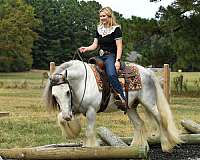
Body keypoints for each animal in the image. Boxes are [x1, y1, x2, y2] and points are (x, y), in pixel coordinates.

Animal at [43, 59, 182, 152]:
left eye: (67, 92)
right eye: (54, 96)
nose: (68, 116)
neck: (82, 82)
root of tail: (147, 72)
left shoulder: (91, 111)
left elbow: (89, 131)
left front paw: (89, 147)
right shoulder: (73, 109)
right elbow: (60, 118)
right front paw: (73, 132)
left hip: (149, 103)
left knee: (160, 119)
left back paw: (166, 145)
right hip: (130, 107)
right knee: (139, 123)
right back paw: (137, 147)